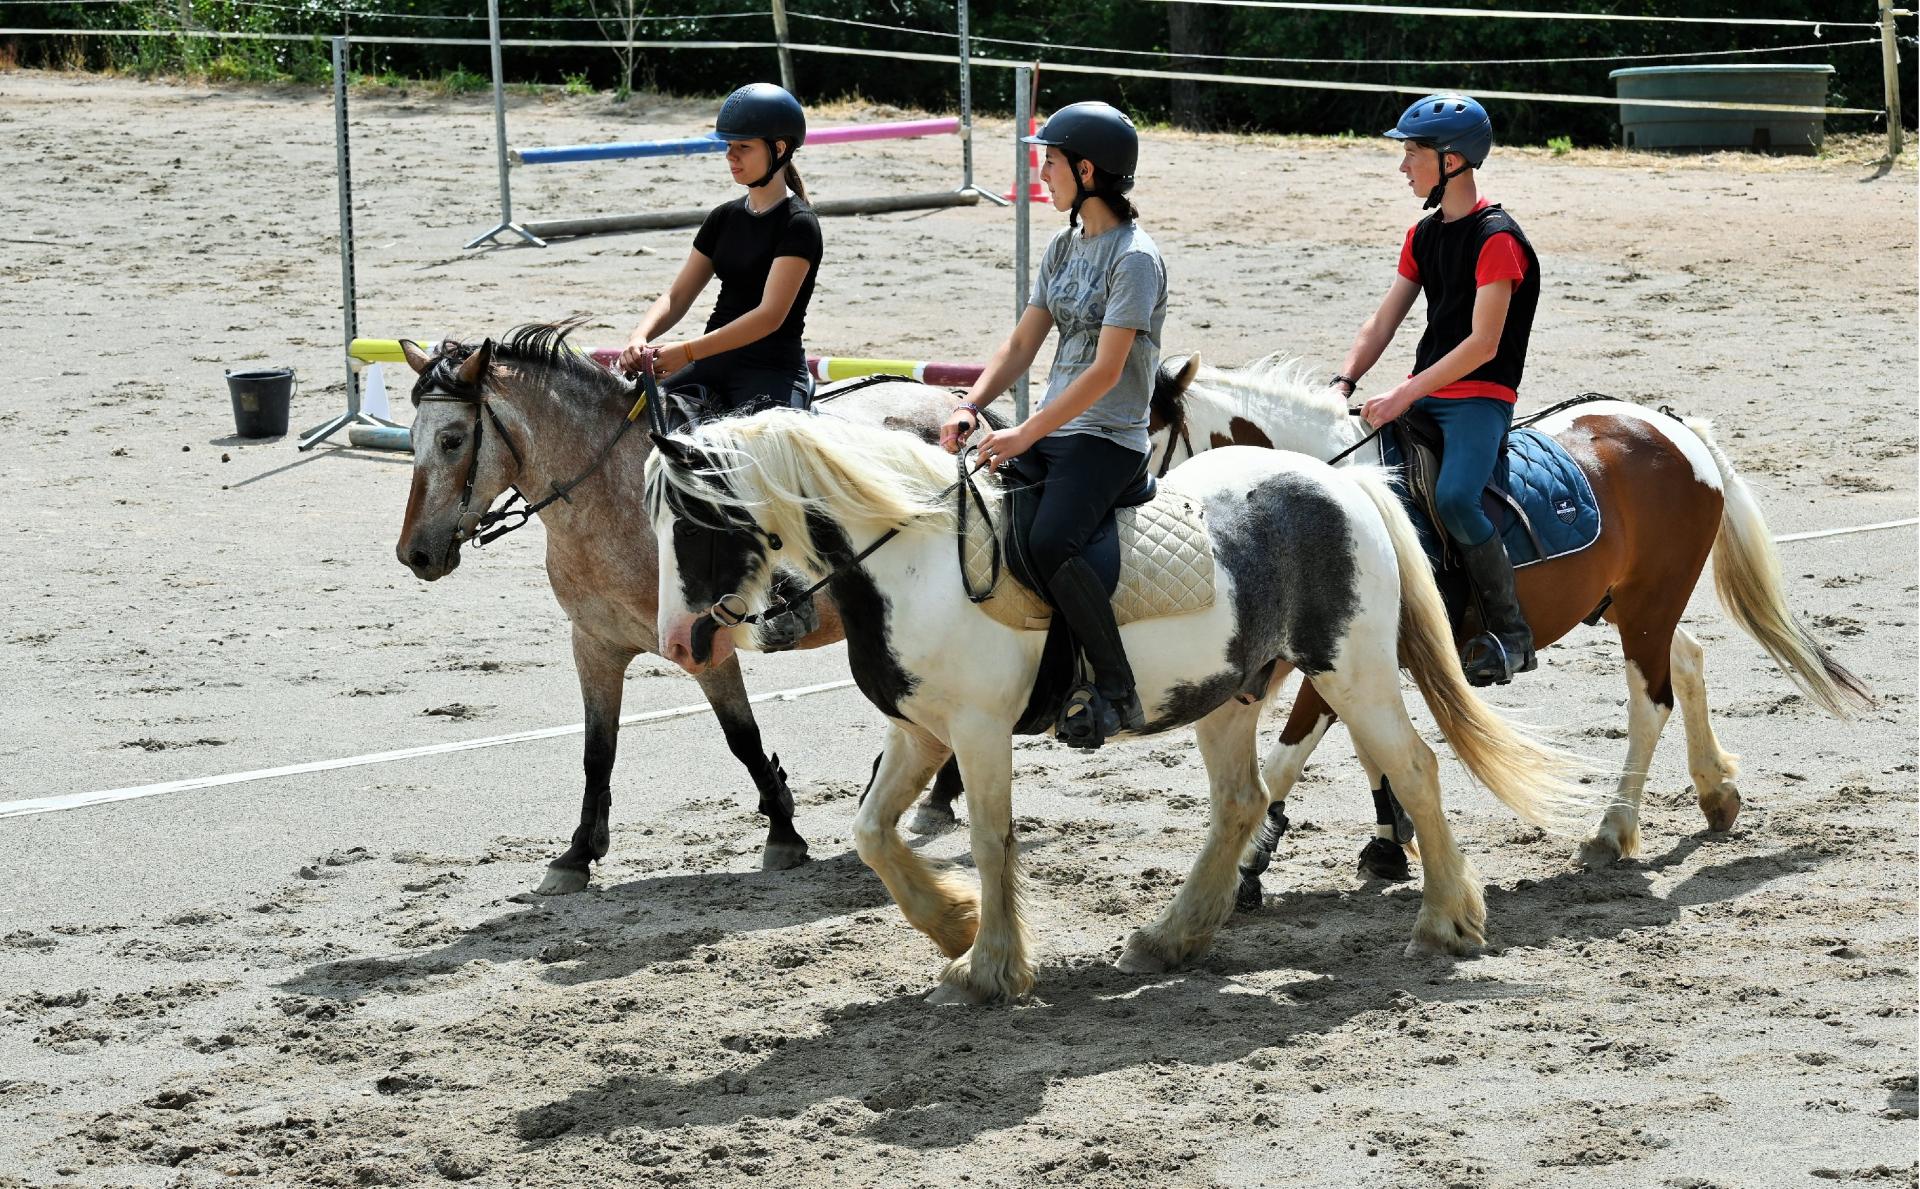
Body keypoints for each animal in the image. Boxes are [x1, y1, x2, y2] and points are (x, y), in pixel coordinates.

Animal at [645, 409, 1605, 1006]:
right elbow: (872, 832)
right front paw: (955, 925)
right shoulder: (918, 730)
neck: (910, 560)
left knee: (1413, 768)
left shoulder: (978, 732)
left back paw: (1444, 924)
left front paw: (988, 969)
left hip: (1352, 673)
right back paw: (1171, 938)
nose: (682, 641)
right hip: (1232, 693)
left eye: (694, 520)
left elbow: (991, 839)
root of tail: (1344, 487)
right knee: (1242, 803)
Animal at [1144, 349, 1866, 887]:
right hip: (1627, 603)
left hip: (1648, 605)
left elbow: (1288, 758)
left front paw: (1250, 859)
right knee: (1686, 659)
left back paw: (1612, 830)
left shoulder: (1340, 653)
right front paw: (1388, 842)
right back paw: (1716, 791)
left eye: (1144, 441)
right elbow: (1367, 745)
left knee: (1650, 702)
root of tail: (1675, 428)